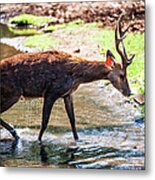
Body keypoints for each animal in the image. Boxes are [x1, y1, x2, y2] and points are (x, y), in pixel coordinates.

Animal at [0, 13, 135, 142]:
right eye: (122, 75)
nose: (129, 92)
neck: (76, 75)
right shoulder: (51, 92)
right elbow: (44, 122)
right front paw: (38, 141)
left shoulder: (67, 94)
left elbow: (73, 121)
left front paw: (77, 140)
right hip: (12, 93)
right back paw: (15, 133)